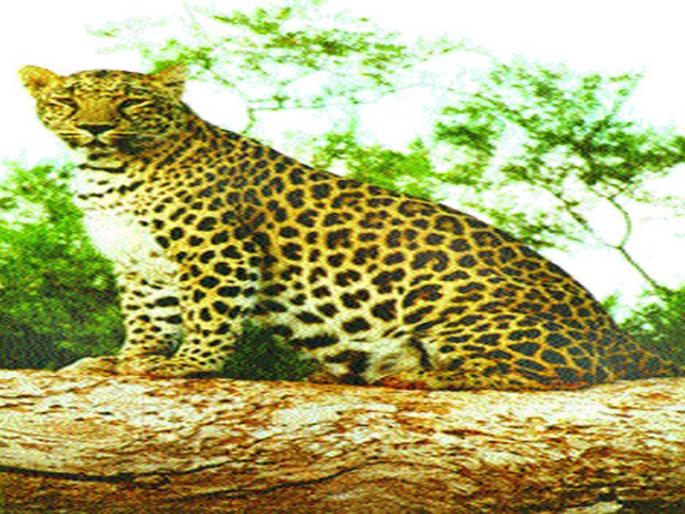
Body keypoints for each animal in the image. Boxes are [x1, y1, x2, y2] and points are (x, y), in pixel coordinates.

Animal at [19, 64, 683, 390]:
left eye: (129, 103)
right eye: (69, 103)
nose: (97, 127)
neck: (107, 171)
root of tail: (619, 334)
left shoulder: (216, 252)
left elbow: (209, 316)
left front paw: (187, 367)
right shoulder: (138, 263)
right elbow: (146, 321)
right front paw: (123, 361)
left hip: (461, 312)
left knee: (560, 373)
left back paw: (426, 379)